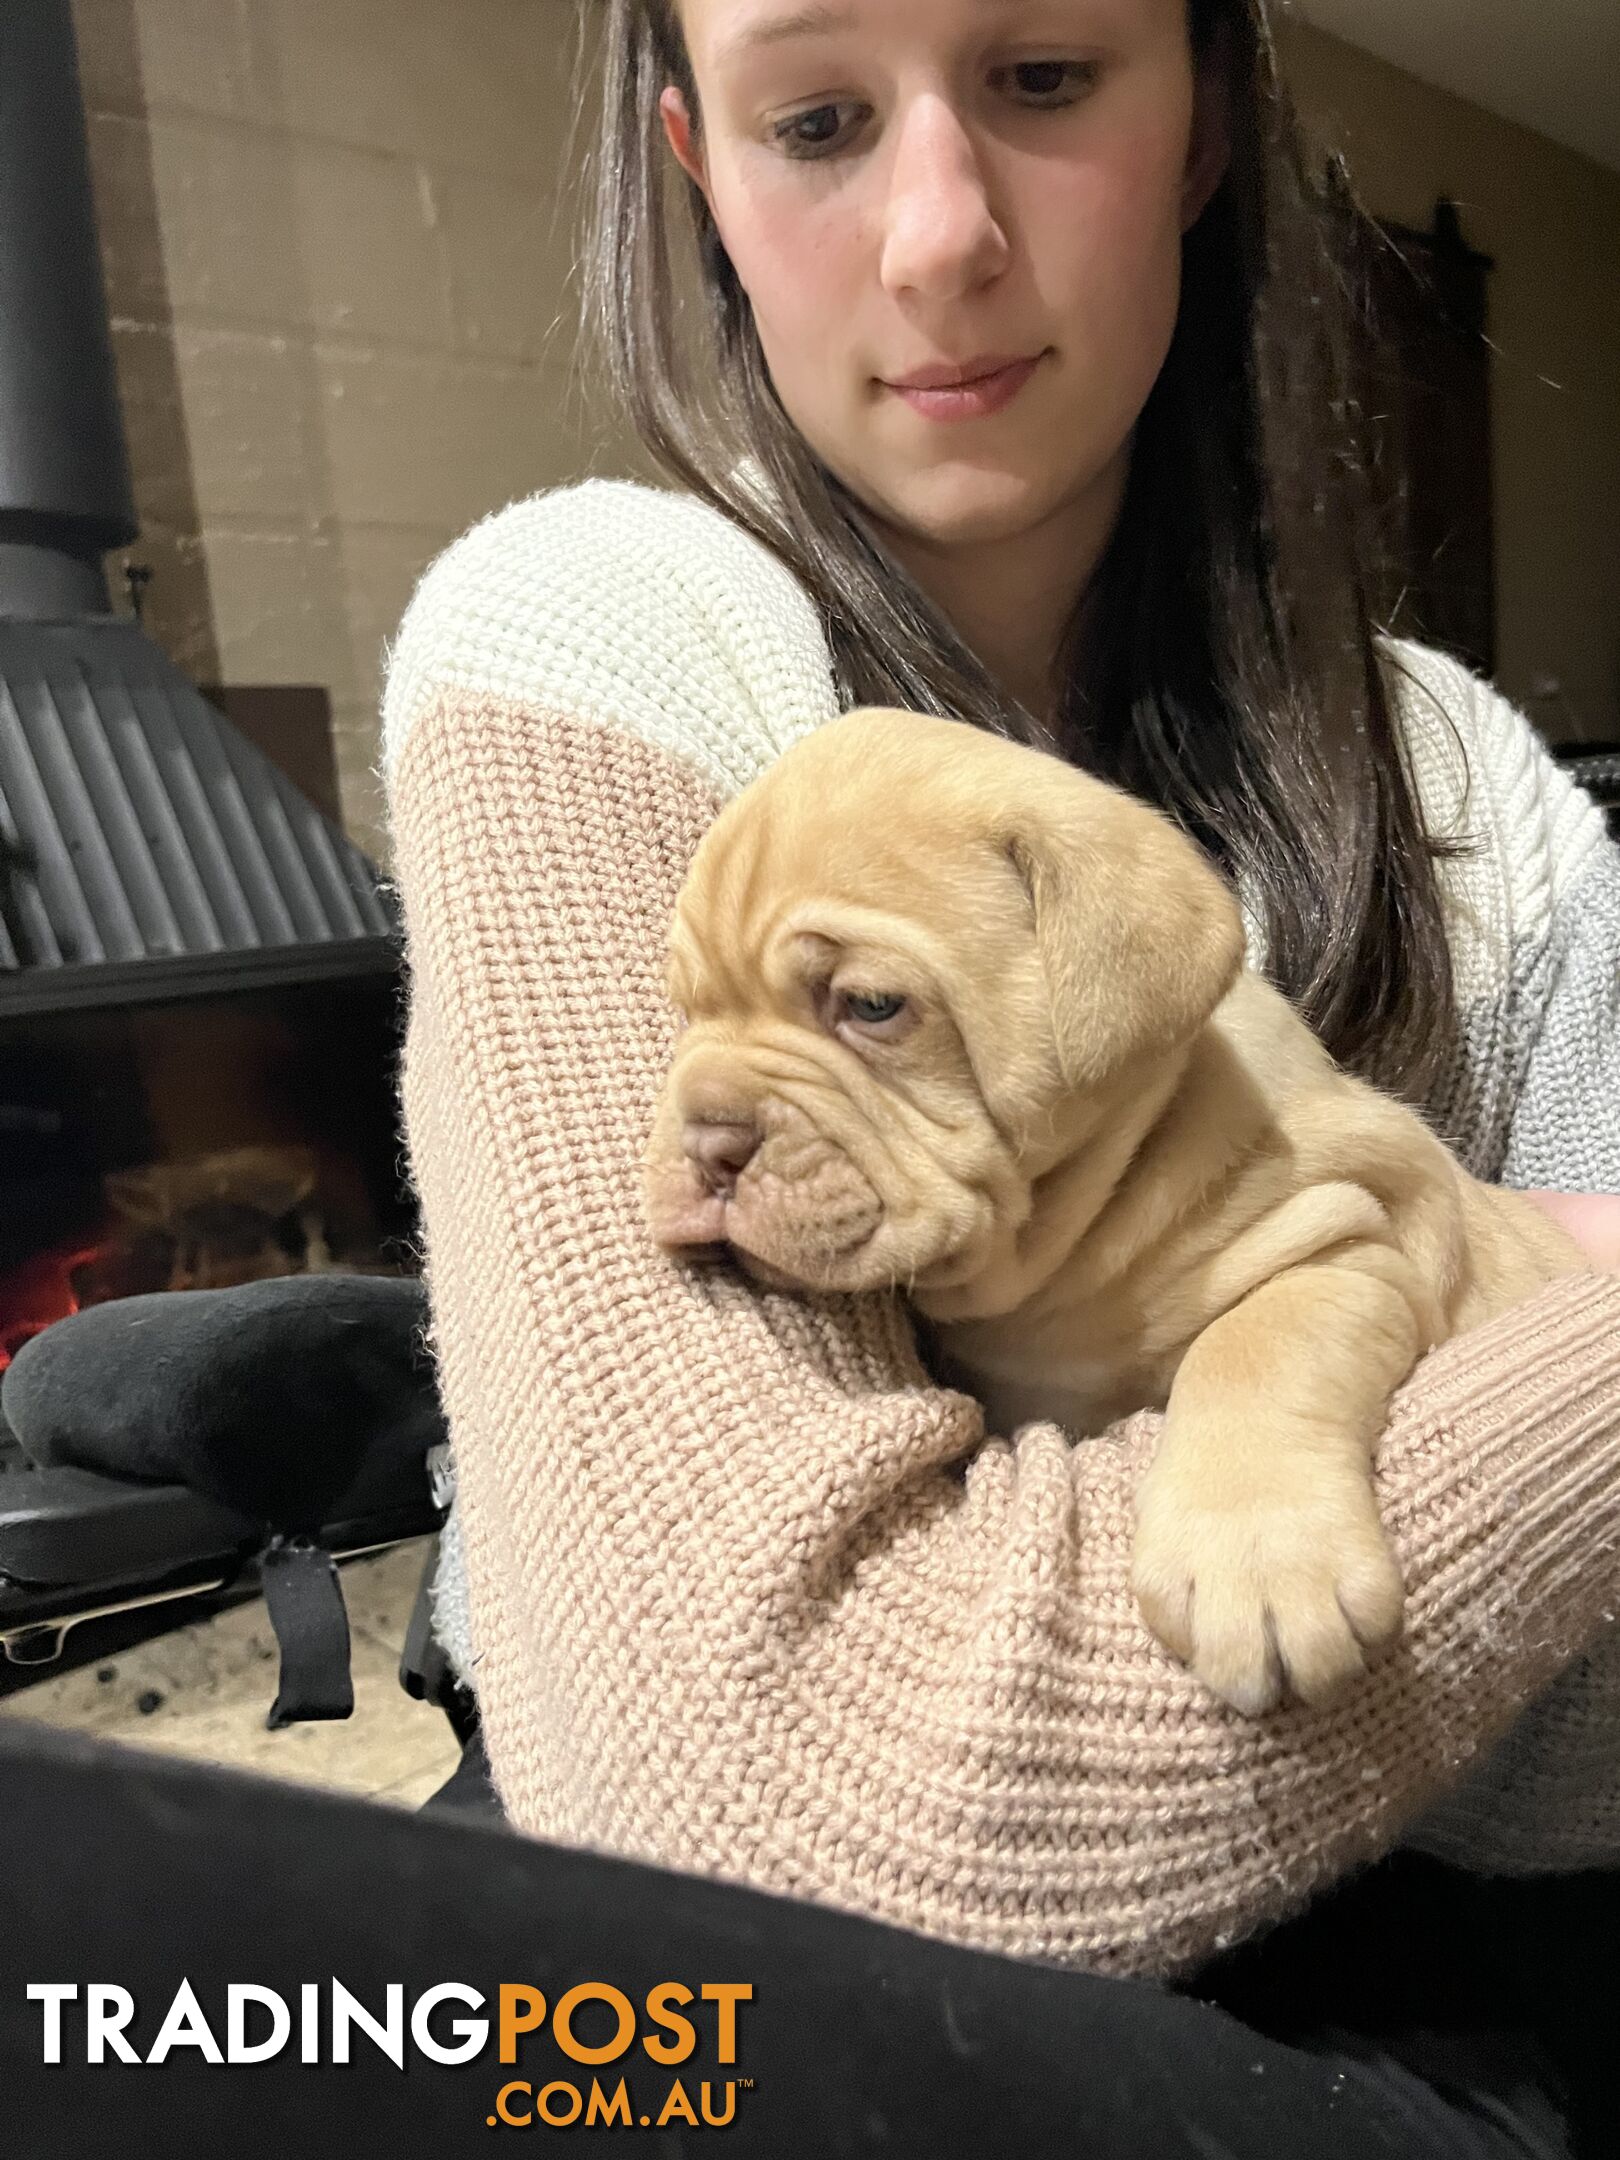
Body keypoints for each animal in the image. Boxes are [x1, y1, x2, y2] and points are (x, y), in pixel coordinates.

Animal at [639, 708, 1589, 1719]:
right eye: (688, 1007)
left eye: (873, 1005)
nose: (707, 1138)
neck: (1070, 1237)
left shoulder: (1355, 1241)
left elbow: (1254, 1346)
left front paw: (1258, 1561)